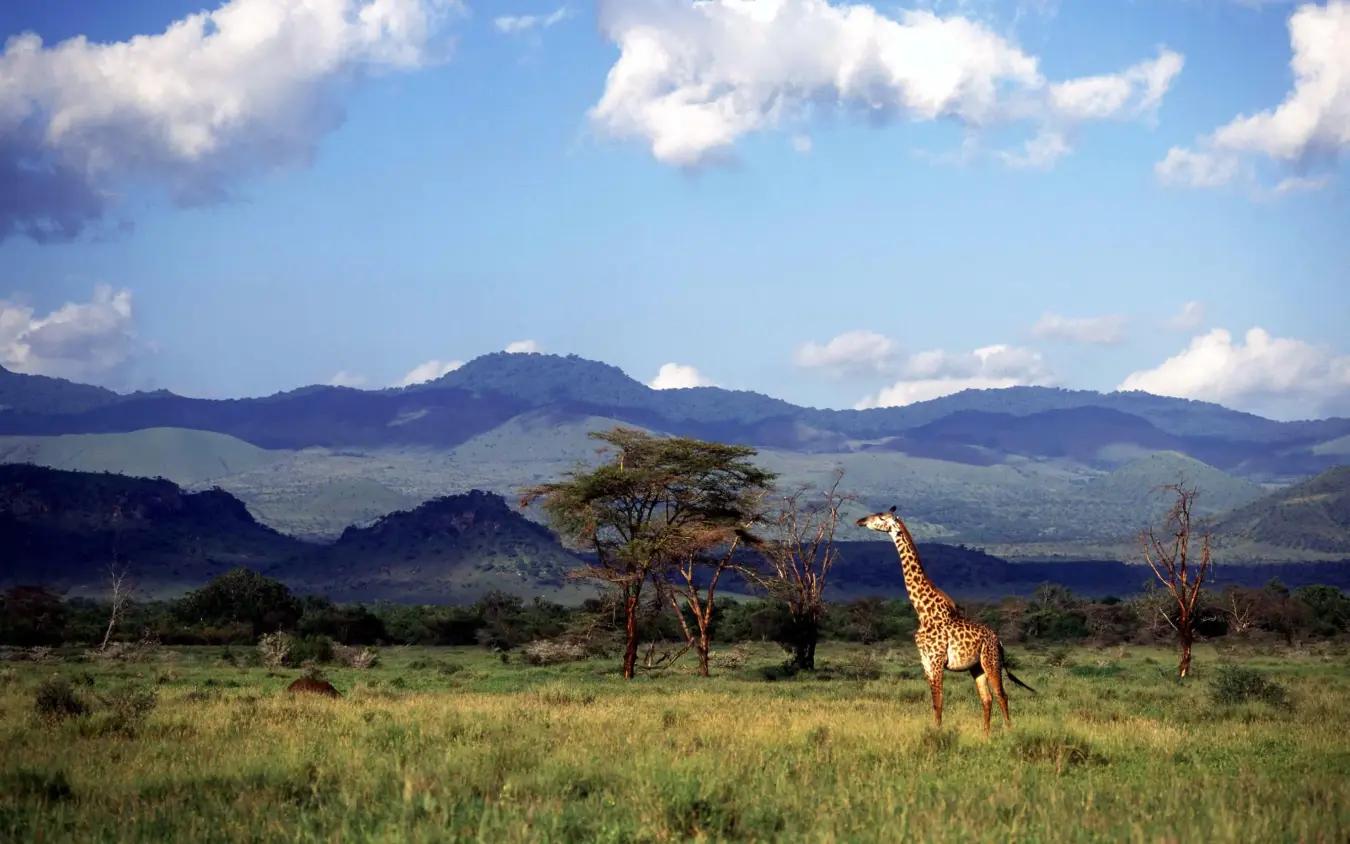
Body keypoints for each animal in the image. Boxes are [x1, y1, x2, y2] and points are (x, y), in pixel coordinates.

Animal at [855, 506, 1036, 735]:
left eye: (880, 516)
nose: (860, 520)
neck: (924, 612)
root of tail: (999, 641)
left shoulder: (937, 659)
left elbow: (939, 701)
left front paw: (937, 733)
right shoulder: (925, 661)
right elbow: (934, 702)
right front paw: (935, 730)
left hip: (991, 661)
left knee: (1002, 695)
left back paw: (1008, 731)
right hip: (976, 667)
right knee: (986, 698)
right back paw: (985, 734)